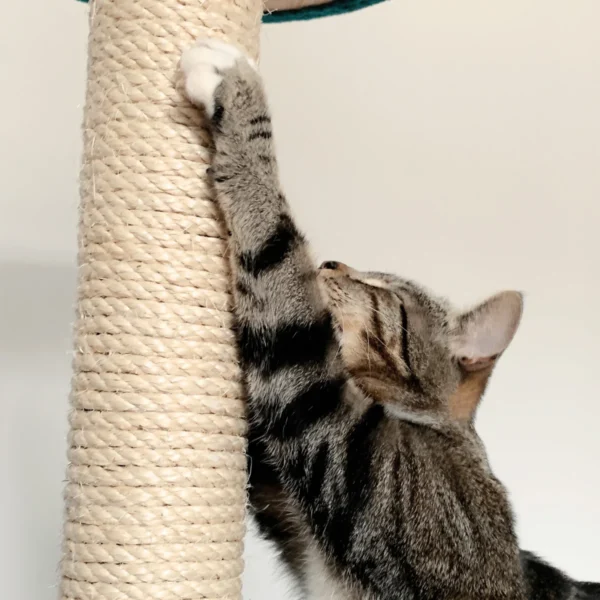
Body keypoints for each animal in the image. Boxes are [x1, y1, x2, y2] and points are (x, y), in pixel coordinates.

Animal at [180, 38, 596, 600]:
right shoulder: (280, 494)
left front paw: (233, 83)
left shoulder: (334, 436)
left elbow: (278, 255)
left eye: (380, 287)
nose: (330, 262)